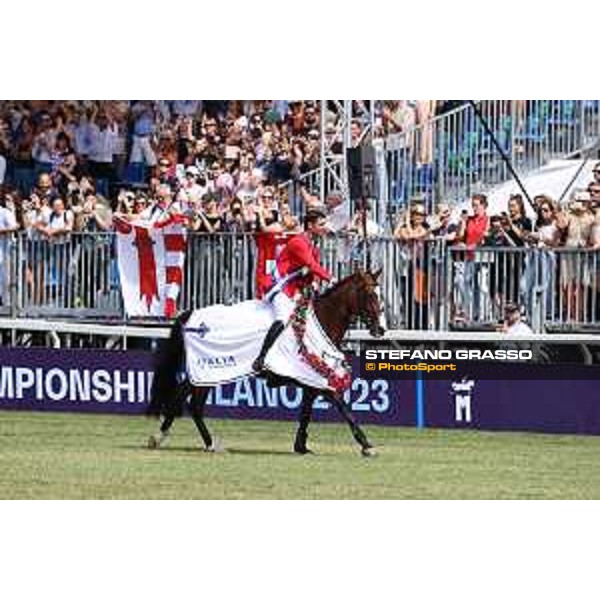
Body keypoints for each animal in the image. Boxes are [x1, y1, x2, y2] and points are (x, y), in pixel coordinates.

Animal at [148, 268, 386, 454]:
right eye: (370, 294)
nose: (381, 329)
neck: (319, 321)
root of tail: (191, 314)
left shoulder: (312, 380)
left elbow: (306, 412)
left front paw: (301, 446)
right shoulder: (320, 381)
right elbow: (343, 407)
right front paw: (366, 444)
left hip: (208, 375)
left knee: (193, 404)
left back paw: (204, 442)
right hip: (206, 371)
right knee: (185, 398)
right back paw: (164, 438)